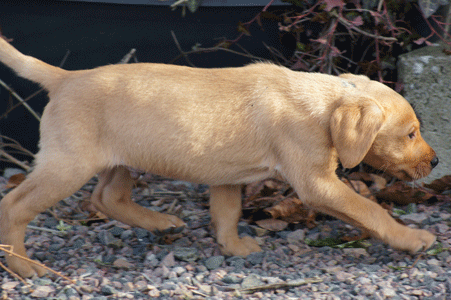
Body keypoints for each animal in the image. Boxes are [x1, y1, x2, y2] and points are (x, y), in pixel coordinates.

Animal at [0, 36, 440, 278]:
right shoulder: (317, 184)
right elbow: (370, 210)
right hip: (67, 165)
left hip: (121, 158)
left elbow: (227, 213)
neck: (323, 103)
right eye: (410, 133)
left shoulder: (227, 176)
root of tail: (66, 77)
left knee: (107, 197)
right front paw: (411, 239)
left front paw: (233, 248)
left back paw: (160, 223)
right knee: (15, 205)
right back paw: (23, 266)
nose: (436, 162)